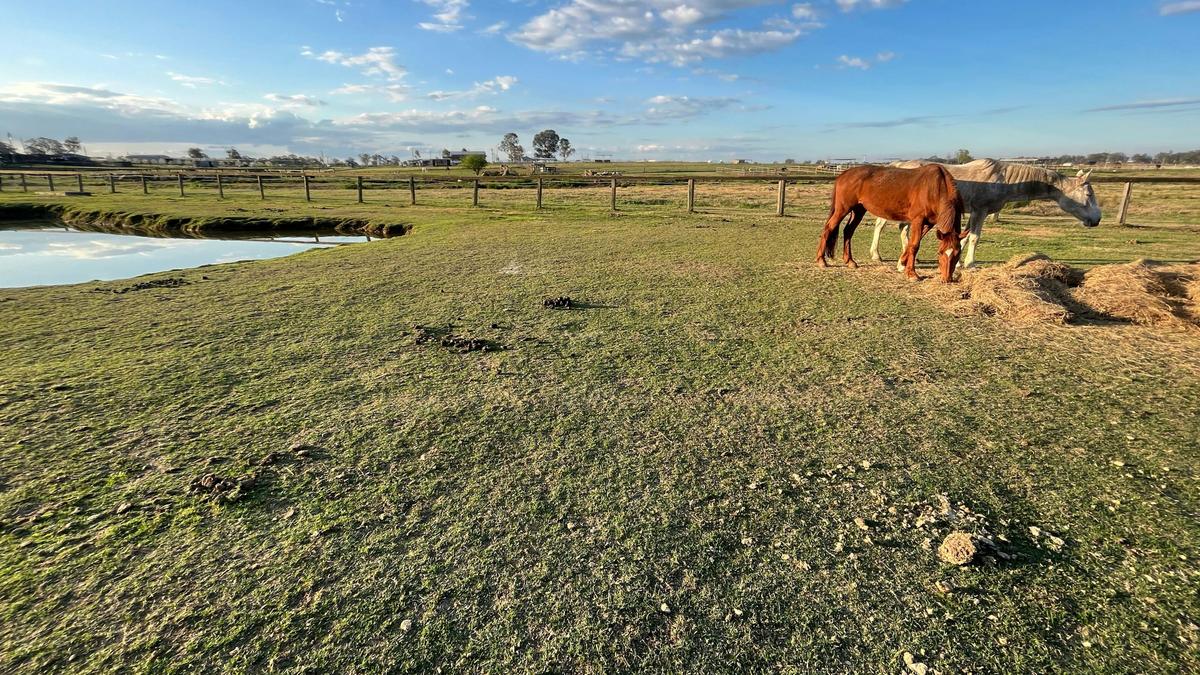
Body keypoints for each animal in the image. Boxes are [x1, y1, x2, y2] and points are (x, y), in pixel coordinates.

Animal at [816, 164, 964, 282]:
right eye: (940, 252)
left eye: (958, 253)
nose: (947, 279)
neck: (935, 186)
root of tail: (844, 174)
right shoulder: (918, 220)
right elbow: (915, 245)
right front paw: (912, 274)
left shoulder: (929, 223)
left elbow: (911, 243)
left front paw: (902, 263)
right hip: (842, 209)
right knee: (828, 228)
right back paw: (821, 260)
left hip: (858, 210)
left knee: (848, 231)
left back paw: (850, 261)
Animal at [869, 159, 1101, 270]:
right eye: (1088, 194)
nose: (1097, 219)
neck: (1004, 180)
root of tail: (897, 164)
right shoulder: (980, 210)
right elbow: (974, 238)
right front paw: (971, 263)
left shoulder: (974, 212)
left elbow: (963, 238)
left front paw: (959, 261)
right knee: (881, 226)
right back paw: (877, 255)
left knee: (902, 229)